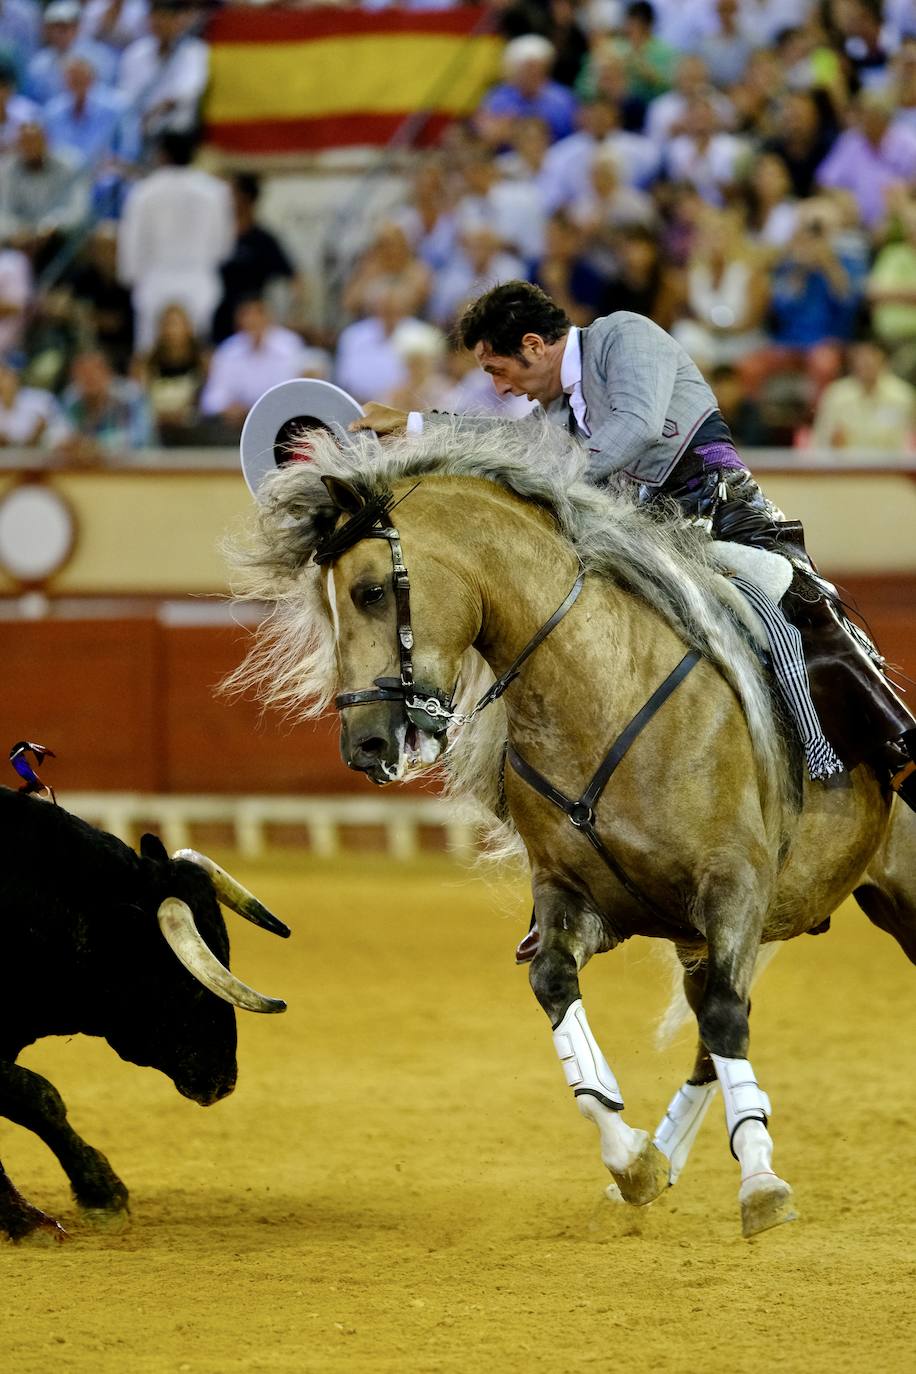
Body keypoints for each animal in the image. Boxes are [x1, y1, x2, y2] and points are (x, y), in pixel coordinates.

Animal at [230, 414, 916, 1236]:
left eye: (368, 591)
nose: (363, 745)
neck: (602, 692)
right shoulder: (579, 897)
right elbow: (559, 987)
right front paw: (632, 1160)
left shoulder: (734, 886)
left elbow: (725, 1020)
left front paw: (759, 1184)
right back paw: (666, 1154)